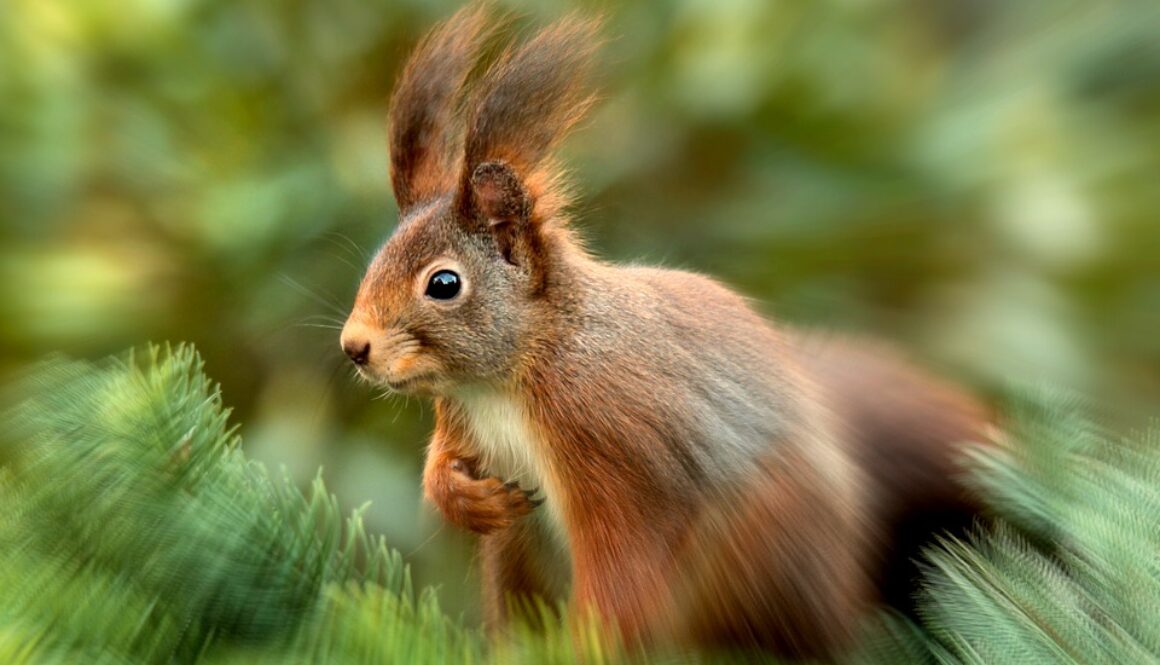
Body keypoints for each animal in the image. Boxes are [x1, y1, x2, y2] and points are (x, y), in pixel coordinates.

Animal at [339, 7, 991, 660]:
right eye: (376, 258)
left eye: (444, 283)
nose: (354, 347)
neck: (514, 372)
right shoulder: (460, 415)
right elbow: (441, 465)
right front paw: (463, 497)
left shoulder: (614, 443)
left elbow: (624, 567)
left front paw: (586, 646)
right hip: (519, 557)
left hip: (761, 550)